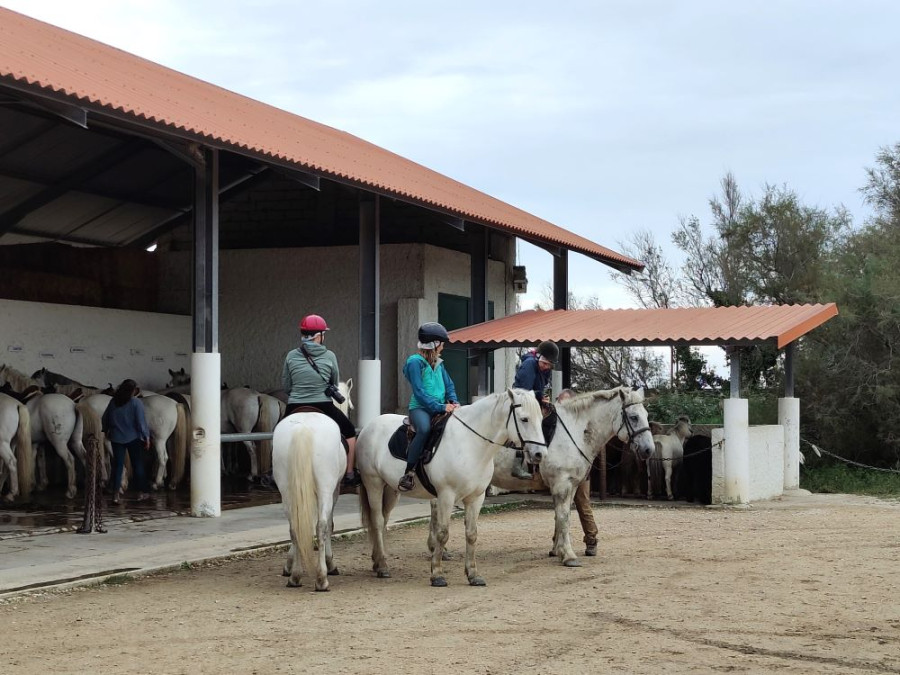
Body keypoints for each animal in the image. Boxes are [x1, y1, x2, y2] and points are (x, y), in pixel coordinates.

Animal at [270, 382, 356, 596]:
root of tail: (303, 428)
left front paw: (288, 565)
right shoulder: (334, 491)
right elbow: (329, 525)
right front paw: (330, 563)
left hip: (286, 490)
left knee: (293, 526)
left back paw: (295, 576)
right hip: (326, 488)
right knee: (322, 525)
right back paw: (322, 579)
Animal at [360, 388, 548, 588]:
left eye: (540, 419)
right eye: (524, 419)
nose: (540, 454)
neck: (471, 444)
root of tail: (369, 426)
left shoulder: (476, 498)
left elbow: (472, 534)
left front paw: (473, 575)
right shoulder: (446, 496)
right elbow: (442, 533)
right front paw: (437, 574)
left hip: (391, 489)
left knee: (383, 521)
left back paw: (378, 561)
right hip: (373, 484)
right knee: (377, 521)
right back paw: (382, 566)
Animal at [492, 388, 652, 568]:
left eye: (646, 414)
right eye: (634, 417)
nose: (649, 450)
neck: (574, 431)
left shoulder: (572, 485)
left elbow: (563, 517)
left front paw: (558, 550)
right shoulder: (562, 484)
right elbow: (563, 517)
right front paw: (568, 555)